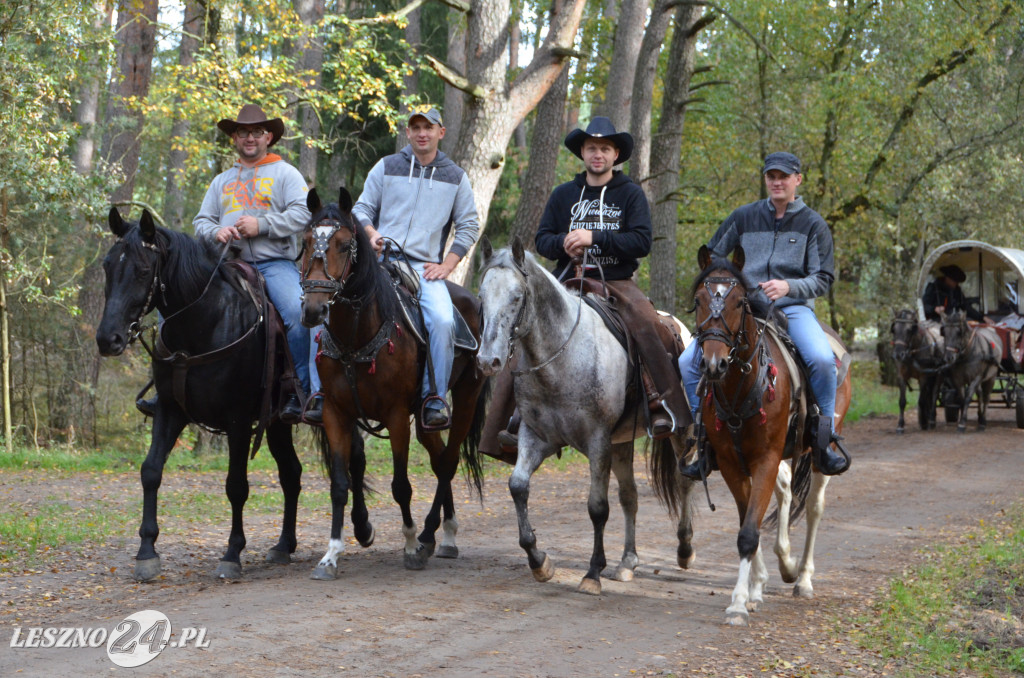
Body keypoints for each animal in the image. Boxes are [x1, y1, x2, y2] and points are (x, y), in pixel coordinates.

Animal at [96, 209, 360, 581]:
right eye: (108, 266)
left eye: (144, 271)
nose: (108, 339)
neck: (204, 324)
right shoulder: (169, 410)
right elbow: (150, 471)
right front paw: (146, 551)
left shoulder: (237, 421)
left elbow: (236, 485)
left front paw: (232, 553)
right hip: (277, 424)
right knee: (291, 475)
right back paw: (283, 546)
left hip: (339, 412)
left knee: (354, 462)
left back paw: (363, 529)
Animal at [299, 187, 487, 577]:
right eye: (307, 241)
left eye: (344, 244)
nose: (314, 309)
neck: (357, 337)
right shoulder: (336, 414)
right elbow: (340, 484)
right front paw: (331, 555)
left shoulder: (397, 416)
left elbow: (401, 485)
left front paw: (411, 545)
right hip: (425, 418)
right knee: (439, 457)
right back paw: (443, 535)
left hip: (466, 397)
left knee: (448, 462)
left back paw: (431, 535)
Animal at [692, 244, 851, 626]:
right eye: (700, 299)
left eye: (738, 302)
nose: (713, 364)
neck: (742, 388)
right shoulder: (733, 463)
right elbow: (747, 518)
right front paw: (754, 589)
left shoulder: (765, 458)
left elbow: (749, 531)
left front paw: (738, 603)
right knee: (785, 492)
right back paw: (785, 565)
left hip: (819, 453)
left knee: (813, 507)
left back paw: (803, 578)